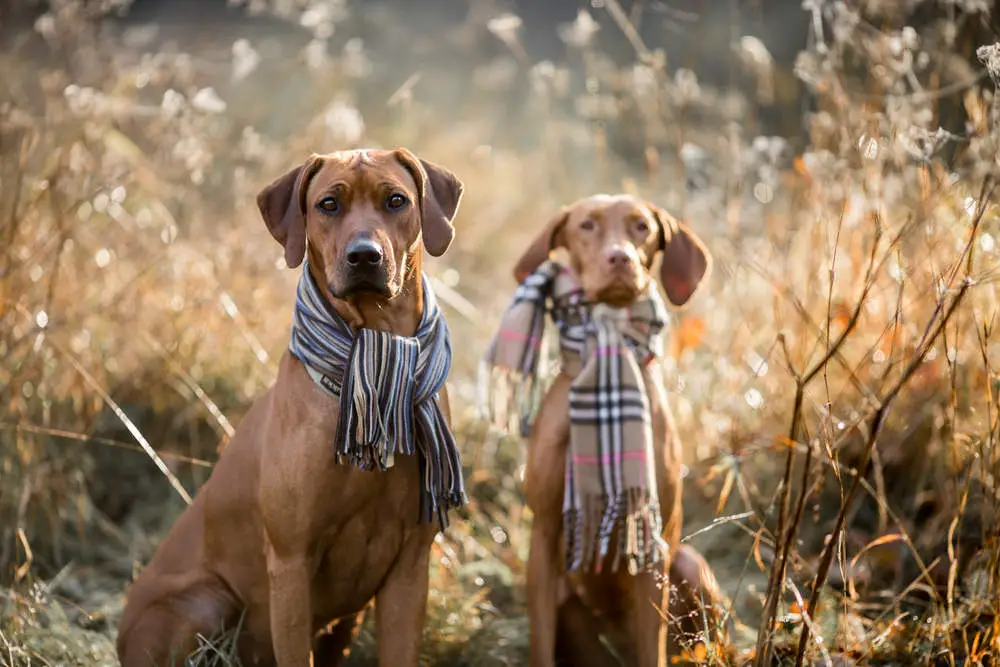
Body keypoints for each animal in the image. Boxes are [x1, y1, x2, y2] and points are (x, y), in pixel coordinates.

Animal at [116, 147, 464, 667]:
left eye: (396, 200)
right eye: (328, 205)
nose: (365, 255)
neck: (374, 345)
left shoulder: (409, 567)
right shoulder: (291, 564)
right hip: (202, 604)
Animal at [498, 190, 712, 664]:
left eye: (642, 227)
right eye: (587, 225)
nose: (620, 258)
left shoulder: (653, 549)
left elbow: (653, 648)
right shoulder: (544, 537)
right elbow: (540, 643)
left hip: (689, 564)